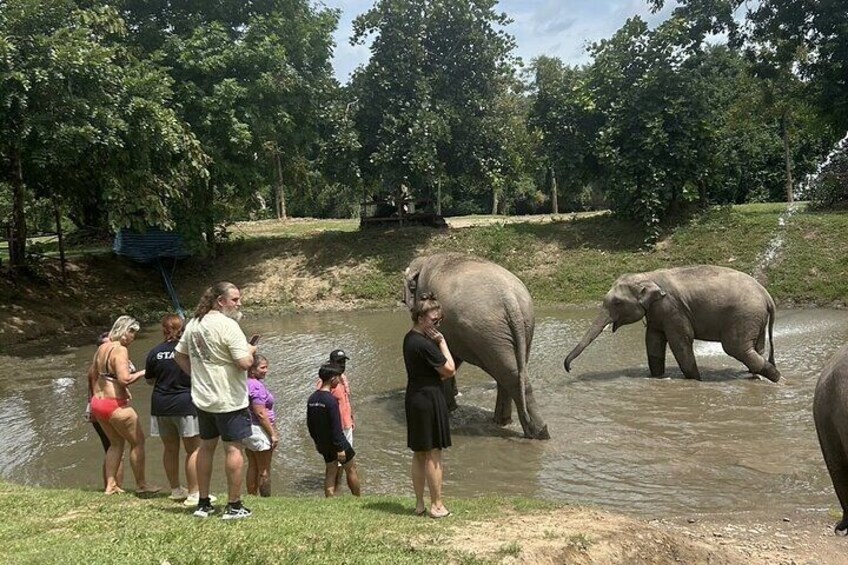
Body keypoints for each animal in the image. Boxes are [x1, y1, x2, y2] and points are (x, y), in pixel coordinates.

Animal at [404, 252, 548, 440]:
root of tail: (510, 299)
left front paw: (451, 409)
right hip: (520, 326)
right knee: (513, 373)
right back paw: (506, 423)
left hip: (485, 331)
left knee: (508, 374)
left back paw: (535, 432)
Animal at [560, 266, 784, 382]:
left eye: (617, 302)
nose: (569, 369)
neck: (647, 276)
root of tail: (767, 296)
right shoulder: (657, 313)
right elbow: (653, 341)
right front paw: (657, 377)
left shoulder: (673, 309)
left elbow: (680, 342)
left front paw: (695, 380)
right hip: (755, 318)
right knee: (756, 348)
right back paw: (756, 377)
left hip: (744, 316)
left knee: (735, 347)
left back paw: (776, 377)